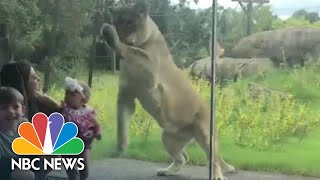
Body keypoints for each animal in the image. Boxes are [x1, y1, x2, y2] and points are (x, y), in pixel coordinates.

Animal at [99, 1, 235, 179]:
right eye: (116, 22)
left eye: (129, 23)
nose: (119, 32)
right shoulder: (126, 96)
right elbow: (121, 123)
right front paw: (120, 148)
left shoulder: (149, 67)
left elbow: (131, 50)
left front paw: (109, 33)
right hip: (168, 138)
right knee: (183, 157)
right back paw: (166, 171)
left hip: (205, 134)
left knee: (213, 159)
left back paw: (217, 175)